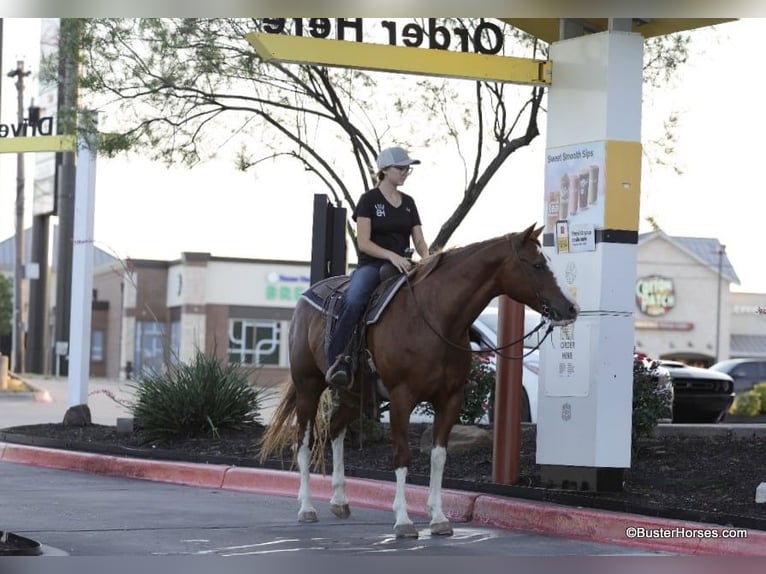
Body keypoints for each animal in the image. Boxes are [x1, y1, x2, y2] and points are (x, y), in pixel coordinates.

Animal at [259, 223, 578, 539]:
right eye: (537, 264)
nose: (571, 308)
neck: (436, 319)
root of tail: (306, 297)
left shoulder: (450, 398)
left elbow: (438, 457)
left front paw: (438, 518)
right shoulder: (402, 397)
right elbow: (402, 454)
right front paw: (403, 520)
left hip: (354, 394)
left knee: (336, 430)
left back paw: (339, 500)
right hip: (308, 386)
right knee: (303, 441)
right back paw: (307, 507)